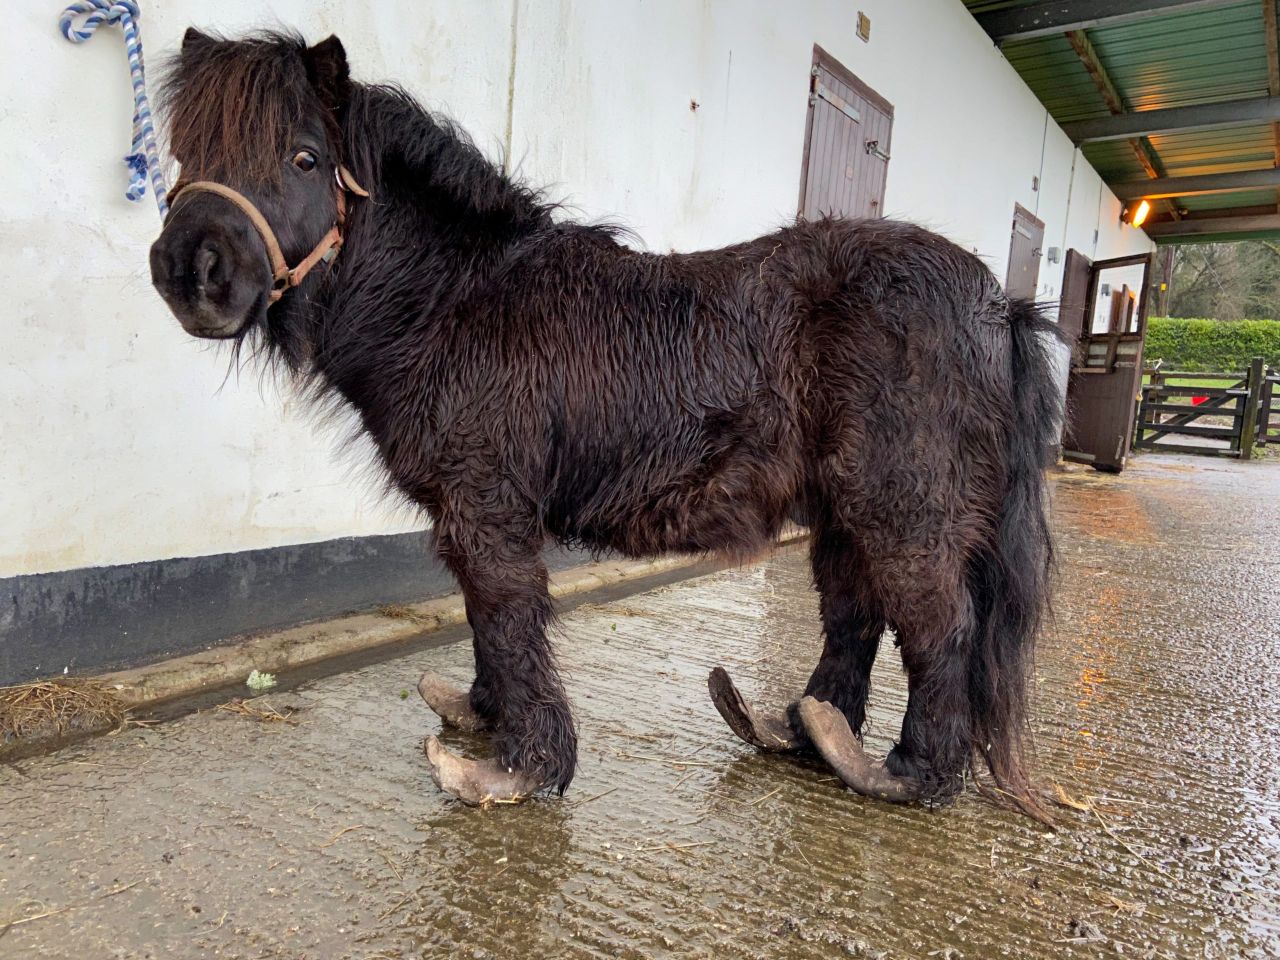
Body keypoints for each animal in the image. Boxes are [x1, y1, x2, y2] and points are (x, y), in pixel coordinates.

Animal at [148, 29, 1062, 819]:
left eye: (304, 157)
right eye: (185, 156)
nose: (190, 272)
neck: (455, 300)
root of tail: (1000, 305)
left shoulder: (488, 508)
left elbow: (509, 618)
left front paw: (518, 769)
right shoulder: (469, 515)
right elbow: (483, 619)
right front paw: (484, 716)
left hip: (902, 507)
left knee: (940, 625)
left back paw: (909, 776)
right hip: (845, 511)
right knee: (855, 614)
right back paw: (807, 731)